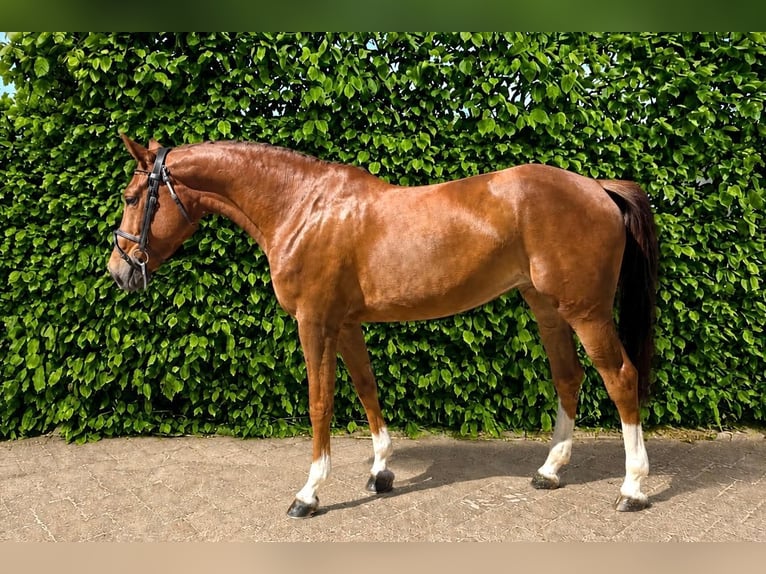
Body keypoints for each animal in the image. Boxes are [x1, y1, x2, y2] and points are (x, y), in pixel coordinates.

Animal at [108, 134, 659, 518]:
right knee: (569, 378)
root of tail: (599, 188)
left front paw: (309, 493)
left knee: (621, 378)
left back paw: (632, 488)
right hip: (547, 309)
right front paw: (381, 471)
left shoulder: (315, 324)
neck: (302, 207)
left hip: (586, 312)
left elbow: (321, 402)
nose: (118, 271)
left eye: (133, 197)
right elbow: (366, 388)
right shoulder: (347, 325)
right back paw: (549, 471)